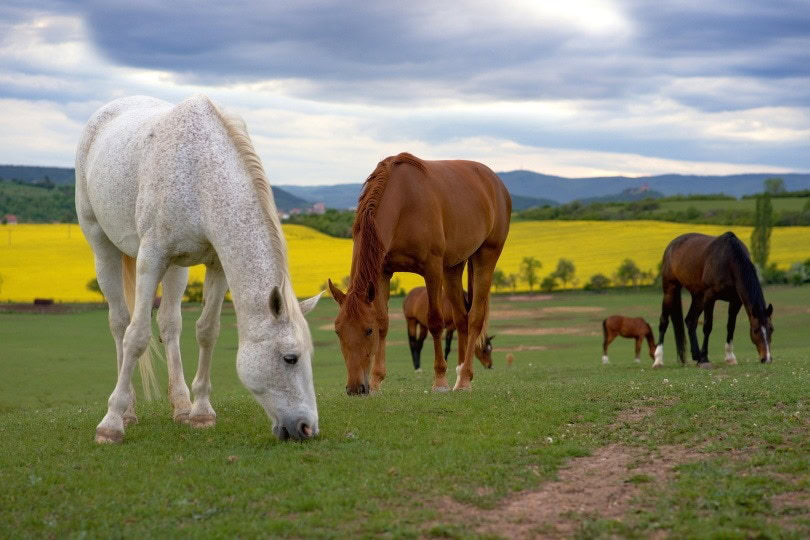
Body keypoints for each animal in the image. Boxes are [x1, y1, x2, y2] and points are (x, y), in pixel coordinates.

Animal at [76, 95, 323, 443]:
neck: (199, 173)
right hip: (102, 246)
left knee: (169, 324)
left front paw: (201, 412)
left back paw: (180, 406)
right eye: (290, 358)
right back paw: (128, 411)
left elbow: (207, 331)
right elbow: (136, 336)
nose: (307, 428)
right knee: (120, 323)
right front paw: (110, 425)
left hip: (175, 269)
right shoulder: (151, 258)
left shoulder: (216, 264)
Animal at [327, 153, 511, 394]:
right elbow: (384, 321)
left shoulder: (432, 269)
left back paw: (464, 380)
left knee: (474, 319)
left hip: (486, 257)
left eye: (367, 331)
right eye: (338, 331)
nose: (355, 388)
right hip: (453, 267)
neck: (404, 203)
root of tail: (495, 182)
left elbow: (435, 322)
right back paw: (461, 374)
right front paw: (376, 381)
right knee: (461, 319)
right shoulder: (382, 273)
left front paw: (440, 381)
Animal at [654, 232, 774, 368]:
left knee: (690, 320)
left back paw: (696, 354)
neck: (728, 261)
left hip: (698, 297)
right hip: (670, 290)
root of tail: (671, 246)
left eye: (771, 329)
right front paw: (704, 358)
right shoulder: (710, 297)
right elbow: (707, 326)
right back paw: (658, 360)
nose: (767, 358)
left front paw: (730, 357)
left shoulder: (735, 301)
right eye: (755, 330)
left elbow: (730, 326)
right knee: (663, 322)